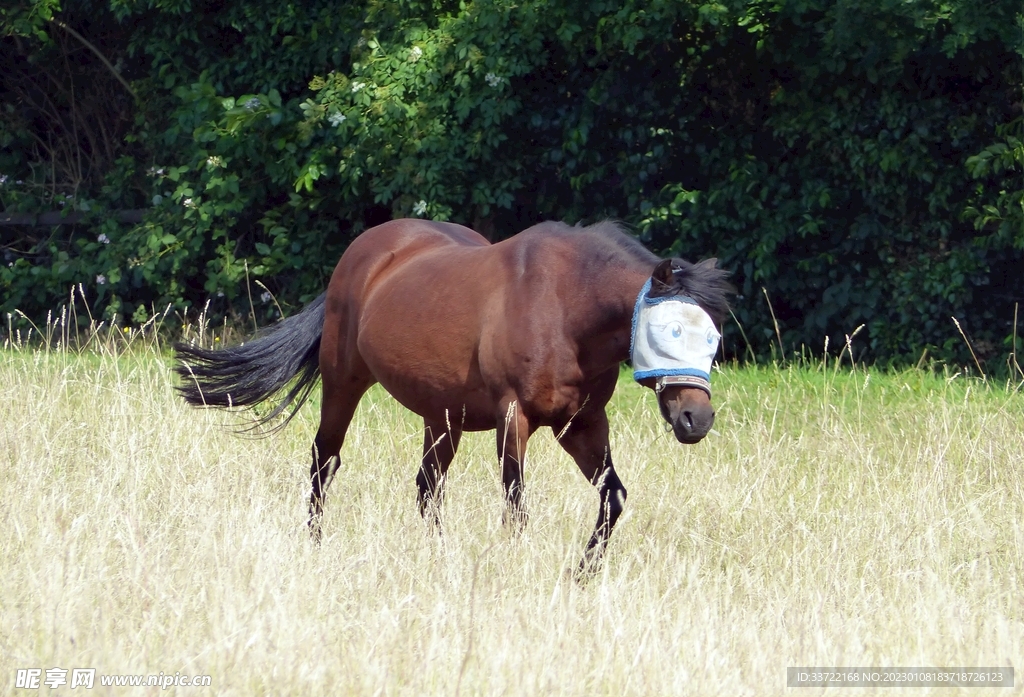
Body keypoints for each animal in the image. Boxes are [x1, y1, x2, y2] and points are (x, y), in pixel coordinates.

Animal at [173, 219, 732, 575]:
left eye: (713, 337)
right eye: (672, 331)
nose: (696, 419)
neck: (564, 306)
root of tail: (366, 252)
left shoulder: (582, 424)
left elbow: (612, 498)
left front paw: (583, 574)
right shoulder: (515, 420)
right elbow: (515, 504)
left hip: (442, 417)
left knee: (426, 488)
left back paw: (438, 558)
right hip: (343, 385)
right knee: (323, 462)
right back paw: (315, 546)